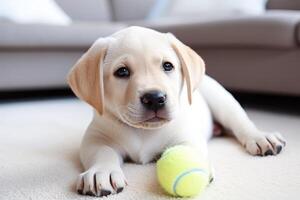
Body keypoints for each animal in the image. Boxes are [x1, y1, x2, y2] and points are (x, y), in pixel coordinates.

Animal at [67, 26, 286, 197]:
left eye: (167, 66)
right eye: (122, 72)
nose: (155, 98)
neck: (144, 131)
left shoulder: (186, 136)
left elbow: (188, 149)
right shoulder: (96, 137)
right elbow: (102, 152)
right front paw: (101, 172)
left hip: (222, 100)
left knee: (241, 124)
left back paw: (261, 138)